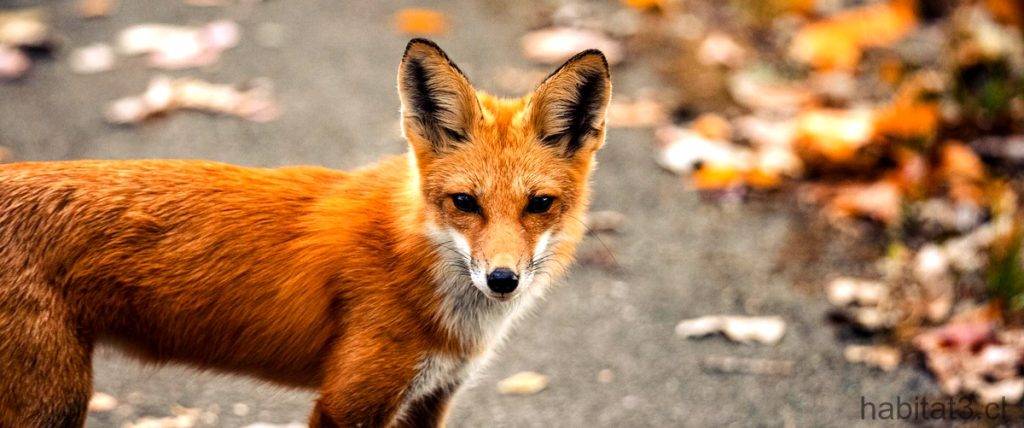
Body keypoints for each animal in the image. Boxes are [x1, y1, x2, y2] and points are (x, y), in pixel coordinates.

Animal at [0, 38, 606, 425]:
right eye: (464, 203)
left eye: (539, 204)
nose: (502, 279)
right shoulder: (347, 402)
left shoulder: (430, 398)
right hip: (54, 403)